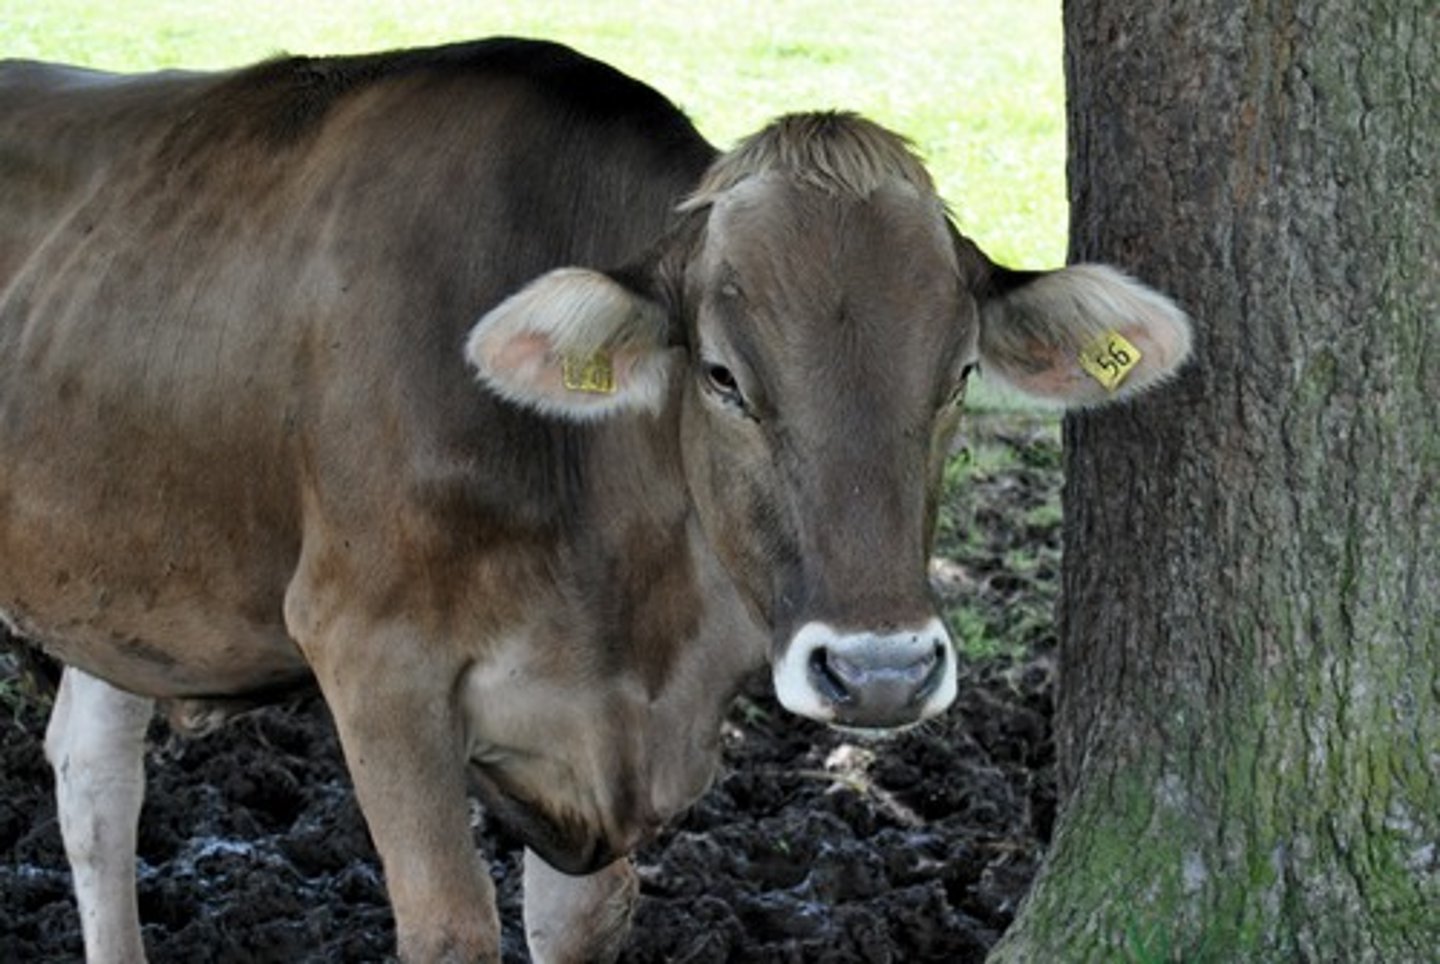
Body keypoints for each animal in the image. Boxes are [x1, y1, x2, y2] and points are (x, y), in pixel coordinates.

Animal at [0, 37, 1191, 963]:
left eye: (958, 377)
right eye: (722, 375)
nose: (881, 672)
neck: (627, 601)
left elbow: (576, 925)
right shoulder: (370, 657)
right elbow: (451, 926)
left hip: (119, 582)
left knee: (95, 778)